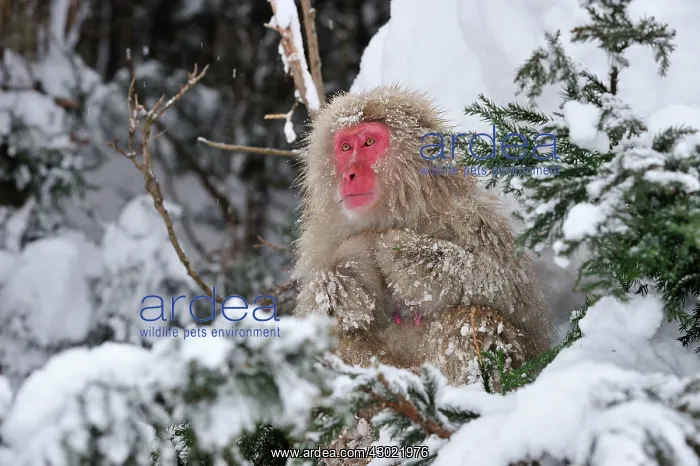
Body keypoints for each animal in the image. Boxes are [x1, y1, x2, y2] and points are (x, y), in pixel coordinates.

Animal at [291, 85, 552, 373]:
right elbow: (312, 313)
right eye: (346, 147)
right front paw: (352, 261)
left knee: (471, 317)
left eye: (369, 142)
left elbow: (507, 289)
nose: (349, 175)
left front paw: (395, 249)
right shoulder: (320, 242)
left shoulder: (474, 219)